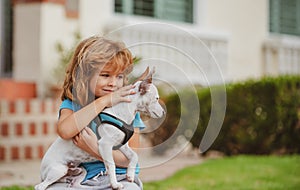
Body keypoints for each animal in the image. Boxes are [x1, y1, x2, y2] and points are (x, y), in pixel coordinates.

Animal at [36, 68, 165, 190]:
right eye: (157, 98)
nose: (164, 113)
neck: (122, 114)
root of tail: (42, 172)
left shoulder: (122, 145)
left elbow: (134, 156)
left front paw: (130, 174)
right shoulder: (105, 144)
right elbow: (112, 165)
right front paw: (115, 184)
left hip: (80, 170)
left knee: (74, 184)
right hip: (58, 170)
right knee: (40, 186)